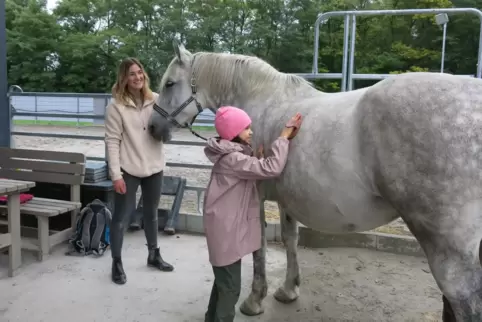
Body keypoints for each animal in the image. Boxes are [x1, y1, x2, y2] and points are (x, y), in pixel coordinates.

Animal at [149, 41, 482, 322]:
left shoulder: (256, 194)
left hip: (448, 249)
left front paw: (255, 301)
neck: (260, 102)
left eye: (169, 84)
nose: (152, 127)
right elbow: (290, 239)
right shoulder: (286, 199)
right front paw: (288, 290)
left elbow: (259, 246)